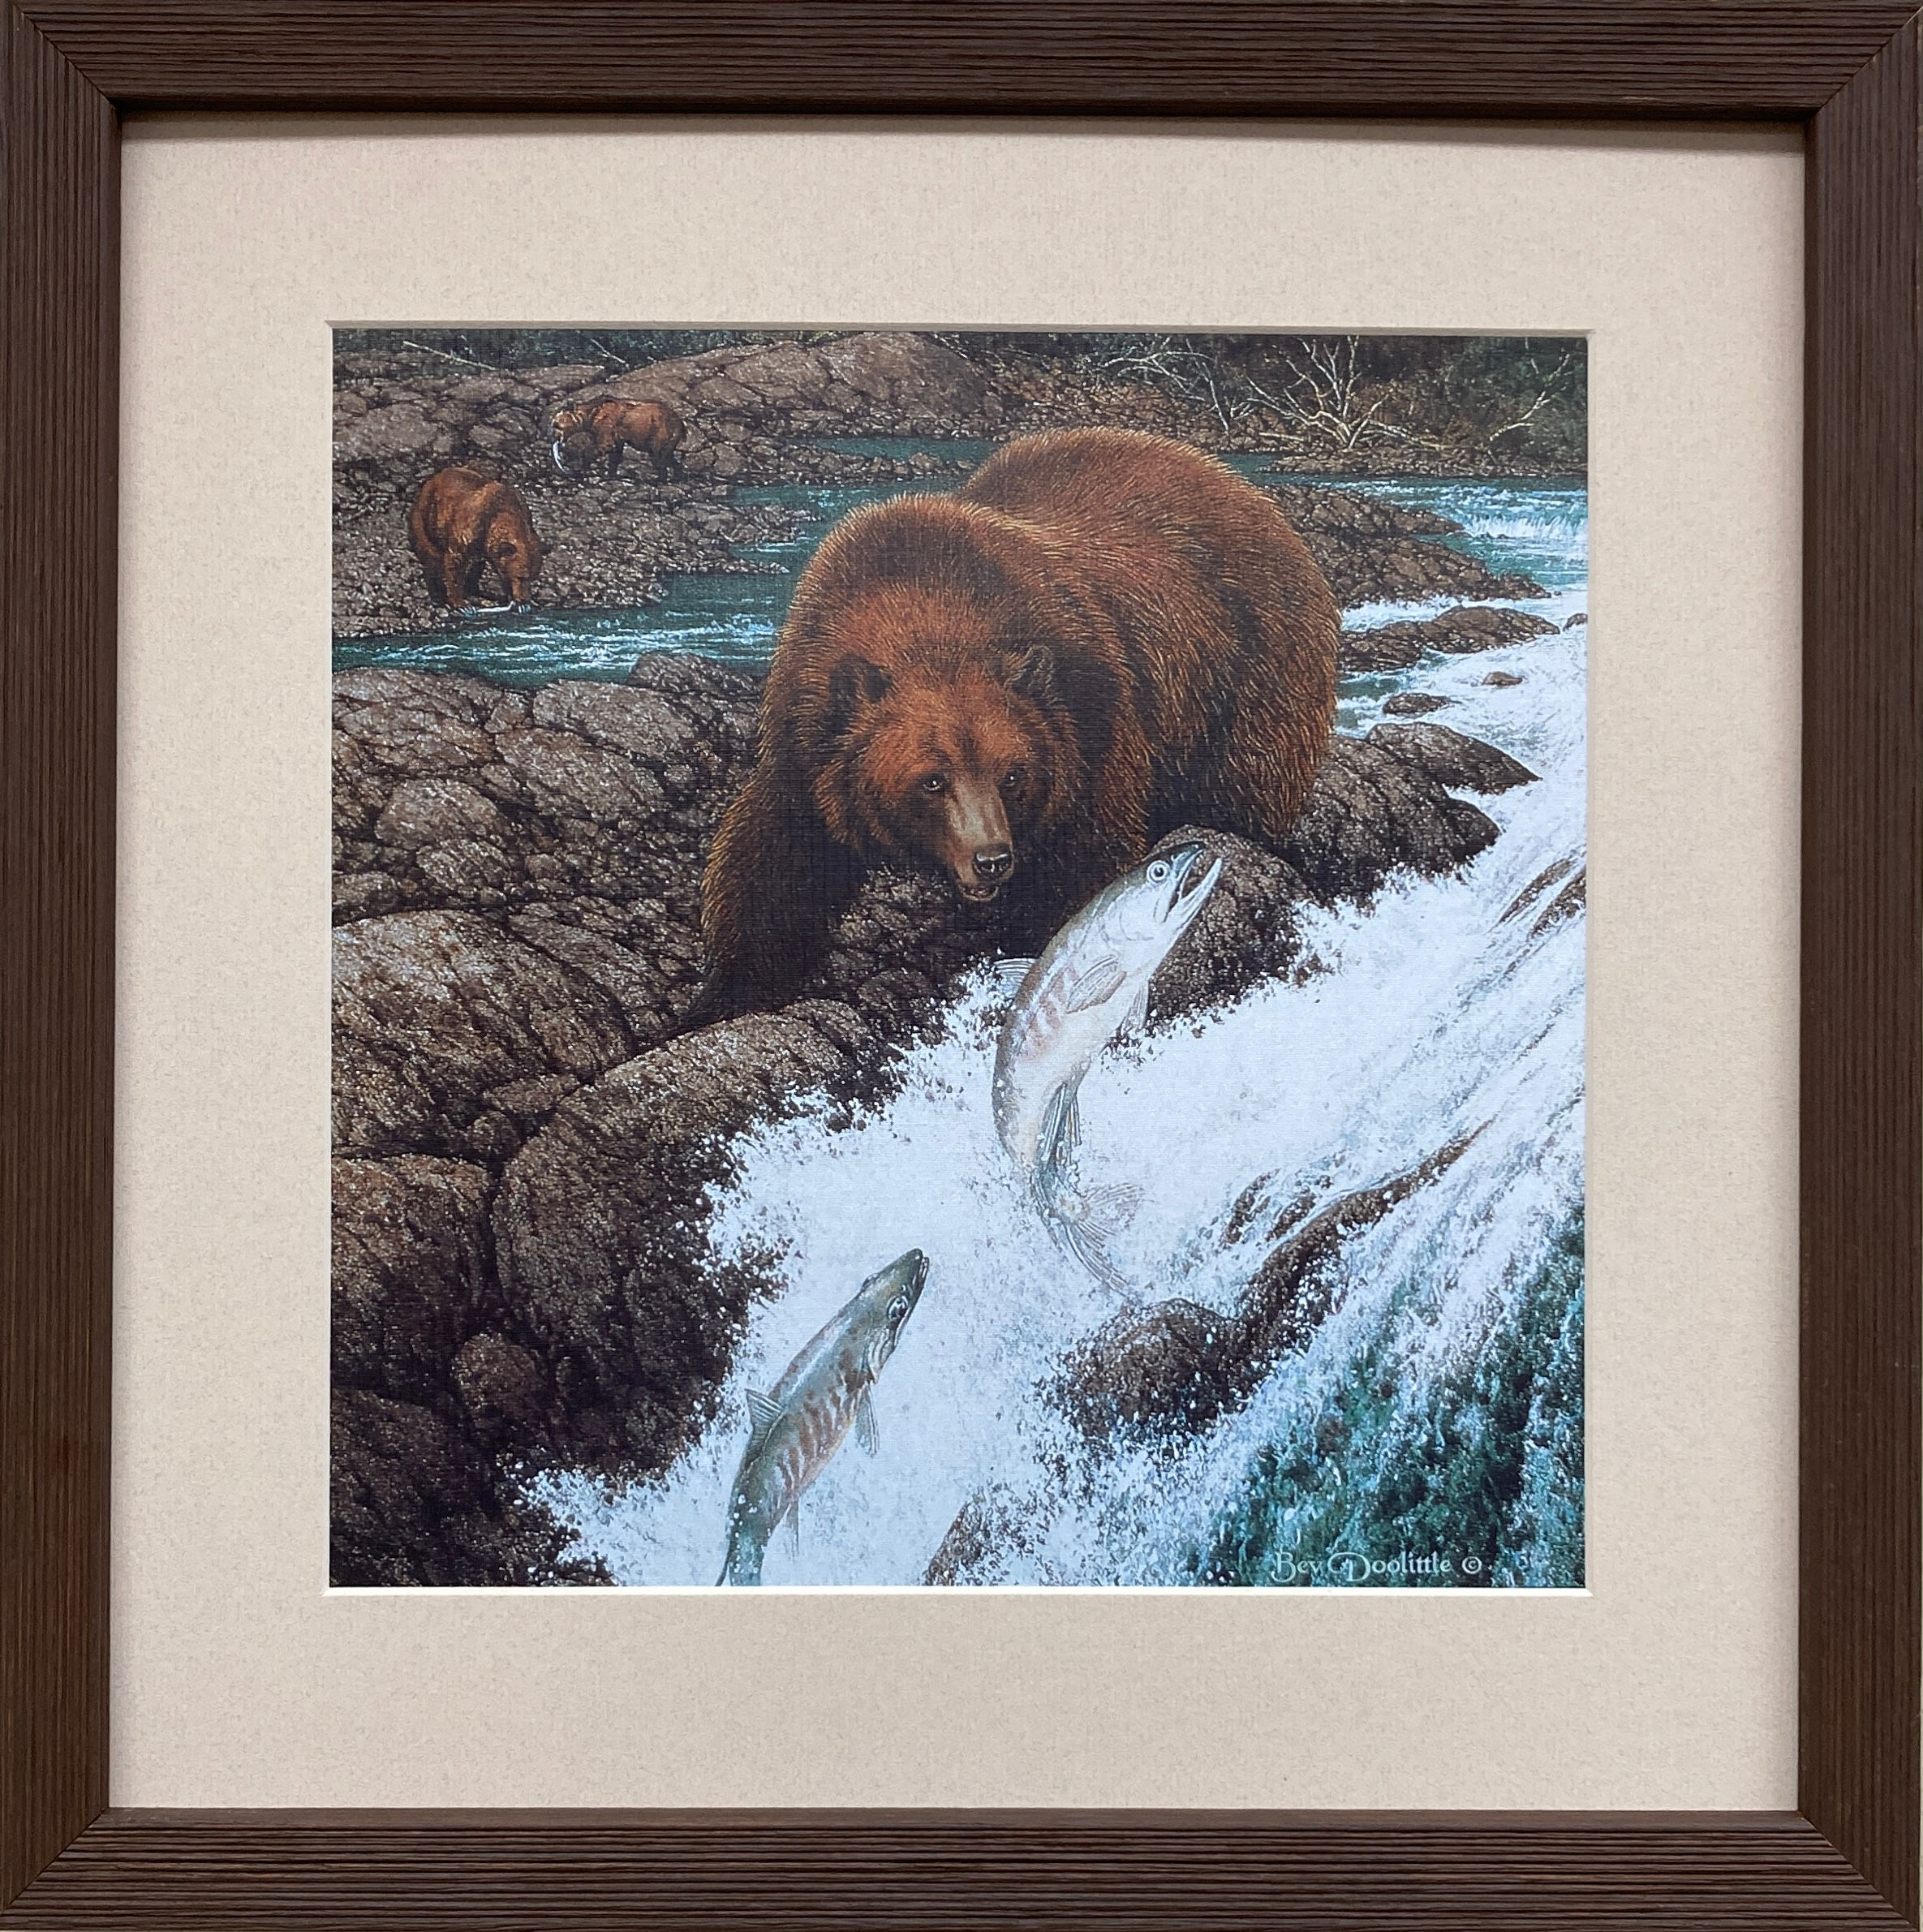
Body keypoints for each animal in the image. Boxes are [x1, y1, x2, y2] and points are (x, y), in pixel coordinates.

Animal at [407, 467, 544, 610]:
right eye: (520, 577)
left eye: (532, 578)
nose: (524, 599)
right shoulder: (470, 528)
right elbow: (455, 563)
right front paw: (460, 603)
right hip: (428, 518)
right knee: (432, 556)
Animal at [550, 398, 686, 481]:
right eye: (554, 424)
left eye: (557, 425)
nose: (553, 436)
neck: (592, 415)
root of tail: (680, 422)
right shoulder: (619, 435)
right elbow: (616, 453)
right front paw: (611, 474)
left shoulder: (607, 426)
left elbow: (603, 445)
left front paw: (584, 467)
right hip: (668, 439)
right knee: (668, 456)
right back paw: (677, 475)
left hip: (659, 433)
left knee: (658, 456)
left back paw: (660, 479)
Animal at [694, 428, 1340, 1018]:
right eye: (933, 779)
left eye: (1012, 774)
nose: (992, 858)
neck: (923, 608)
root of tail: (1244, 491)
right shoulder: (809, 736)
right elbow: (774, 868)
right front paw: (730, 993)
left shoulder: (1087, 717)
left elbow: (1079, 869)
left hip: (1253, 672)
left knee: (1242, 788)